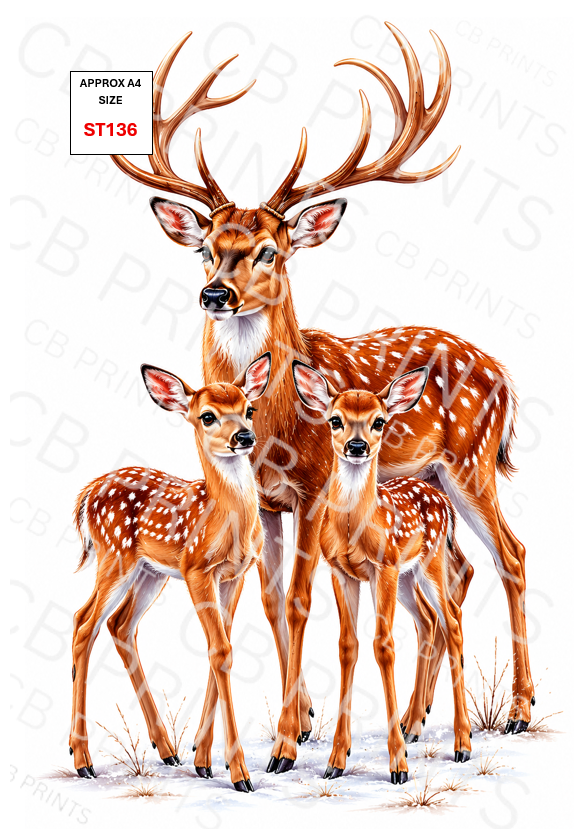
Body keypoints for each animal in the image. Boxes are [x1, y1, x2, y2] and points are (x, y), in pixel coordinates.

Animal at [69, 353, 272, 792]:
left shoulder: (236, 574)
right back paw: (82, 760)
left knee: (120, 624)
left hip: (150, 572)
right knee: (84, 622)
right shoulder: (196, 569)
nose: (244, 437)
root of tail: (87, 494)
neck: (224, 520)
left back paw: (166, 750)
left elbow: (221, 648)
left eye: (249, 409)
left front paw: (204, 760)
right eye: (207, 416)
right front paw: (240, 774)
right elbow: (221, 651)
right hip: (116, 557)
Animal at [292, 361, 472, 781]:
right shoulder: (341, 572)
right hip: (408, 578)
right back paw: (418, 727)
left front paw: (398, 765)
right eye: (336, 420)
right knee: (429, 620)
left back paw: (462, 744)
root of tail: (442, 500)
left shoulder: (384, 567)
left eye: (379, 421)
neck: (355, 527)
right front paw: (336, 761)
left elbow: (384, 645)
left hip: (430, 563)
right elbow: (348, 646)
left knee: (453, 621)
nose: (357, 447)